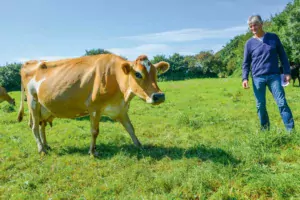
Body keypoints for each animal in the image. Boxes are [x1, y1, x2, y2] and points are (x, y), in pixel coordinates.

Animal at [17, 54, 170, 156]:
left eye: (156, 73)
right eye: (138, 74)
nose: (159, 96)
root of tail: (28, 63)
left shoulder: (121, 109)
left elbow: (130, 128)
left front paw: (139, 145)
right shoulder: (95, 108)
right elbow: (94, 131)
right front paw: (92, 151)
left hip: (44, 108)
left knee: (41, 126)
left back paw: (46, 145)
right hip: (33, 102)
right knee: (34, 126)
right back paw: (41, 149)